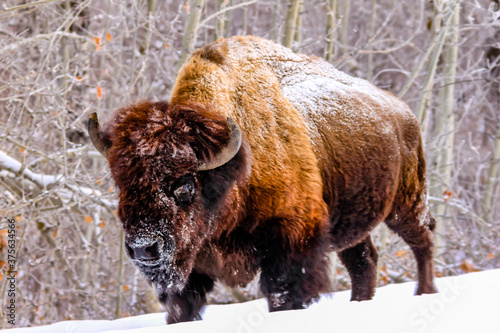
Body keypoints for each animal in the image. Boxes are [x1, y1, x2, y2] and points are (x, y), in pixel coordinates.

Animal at [88, 35, 436, 322]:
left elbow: (283, 293)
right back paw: (359, 303)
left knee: (423, 240)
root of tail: (403, 111)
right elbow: (181, 307)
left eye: (185, 184)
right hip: (350, 219)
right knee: (363, 261)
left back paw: (425, 292)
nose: (143, 249)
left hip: (406, 202)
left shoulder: (292, 240)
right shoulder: (191, 265)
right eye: (122, 184)